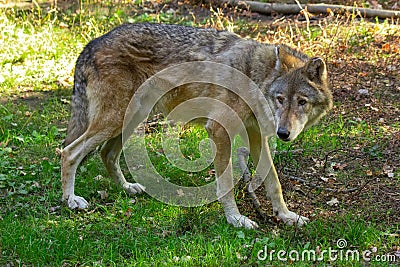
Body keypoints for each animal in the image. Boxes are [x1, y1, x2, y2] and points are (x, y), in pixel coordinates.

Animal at [61, 22, 332, 229]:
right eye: (280, 99)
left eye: (302, 102)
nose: (283, 133)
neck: (255, 77)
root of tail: (92, 43)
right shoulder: (219, 130)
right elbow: (226, 184)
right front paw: (236, 220)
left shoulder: (257, 135)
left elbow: (273, 182)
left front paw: (286, 216)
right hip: (115, 120)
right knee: (68, 152)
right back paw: (71, 200)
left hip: (131, 119)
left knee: (106, 154)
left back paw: (128, 188)